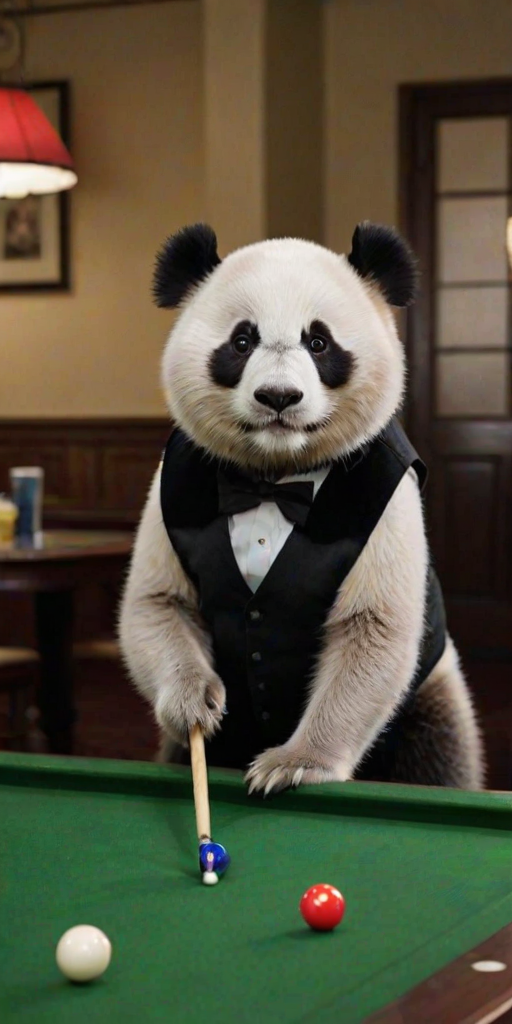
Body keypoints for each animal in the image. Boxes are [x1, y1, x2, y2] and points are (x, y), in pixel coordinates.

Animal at [118, 222, 484, 794]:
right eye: (242, 341)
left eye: (318, 342)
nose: (278, 396)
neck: (275, 475)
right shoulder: (173, 486)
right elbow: (158, 603)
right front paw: (194, 702)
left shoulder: (387, 502)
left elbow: (371, 628)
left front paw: (296, 763)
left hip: (430, 705)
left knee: (436, 753)